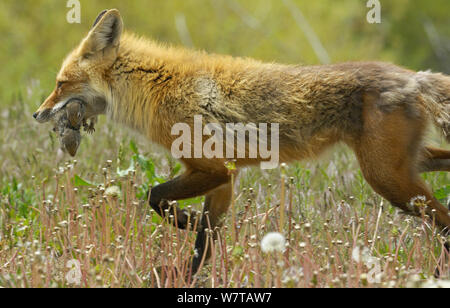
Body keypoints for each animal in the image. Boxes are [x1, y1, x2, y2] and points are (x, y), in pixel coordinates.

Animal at [35, 9, 450, 274]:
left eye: (60, 84)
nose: (37, 115)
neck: (158, 86)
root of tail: (412, 75)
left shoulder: (212, 169)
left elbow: (156, 197)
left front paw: (185, 223)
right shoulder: (224, 178)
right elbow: (203, 242)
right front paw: (188, 271)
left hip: (387, 177)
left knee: (444, 221)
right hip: (407, 164)